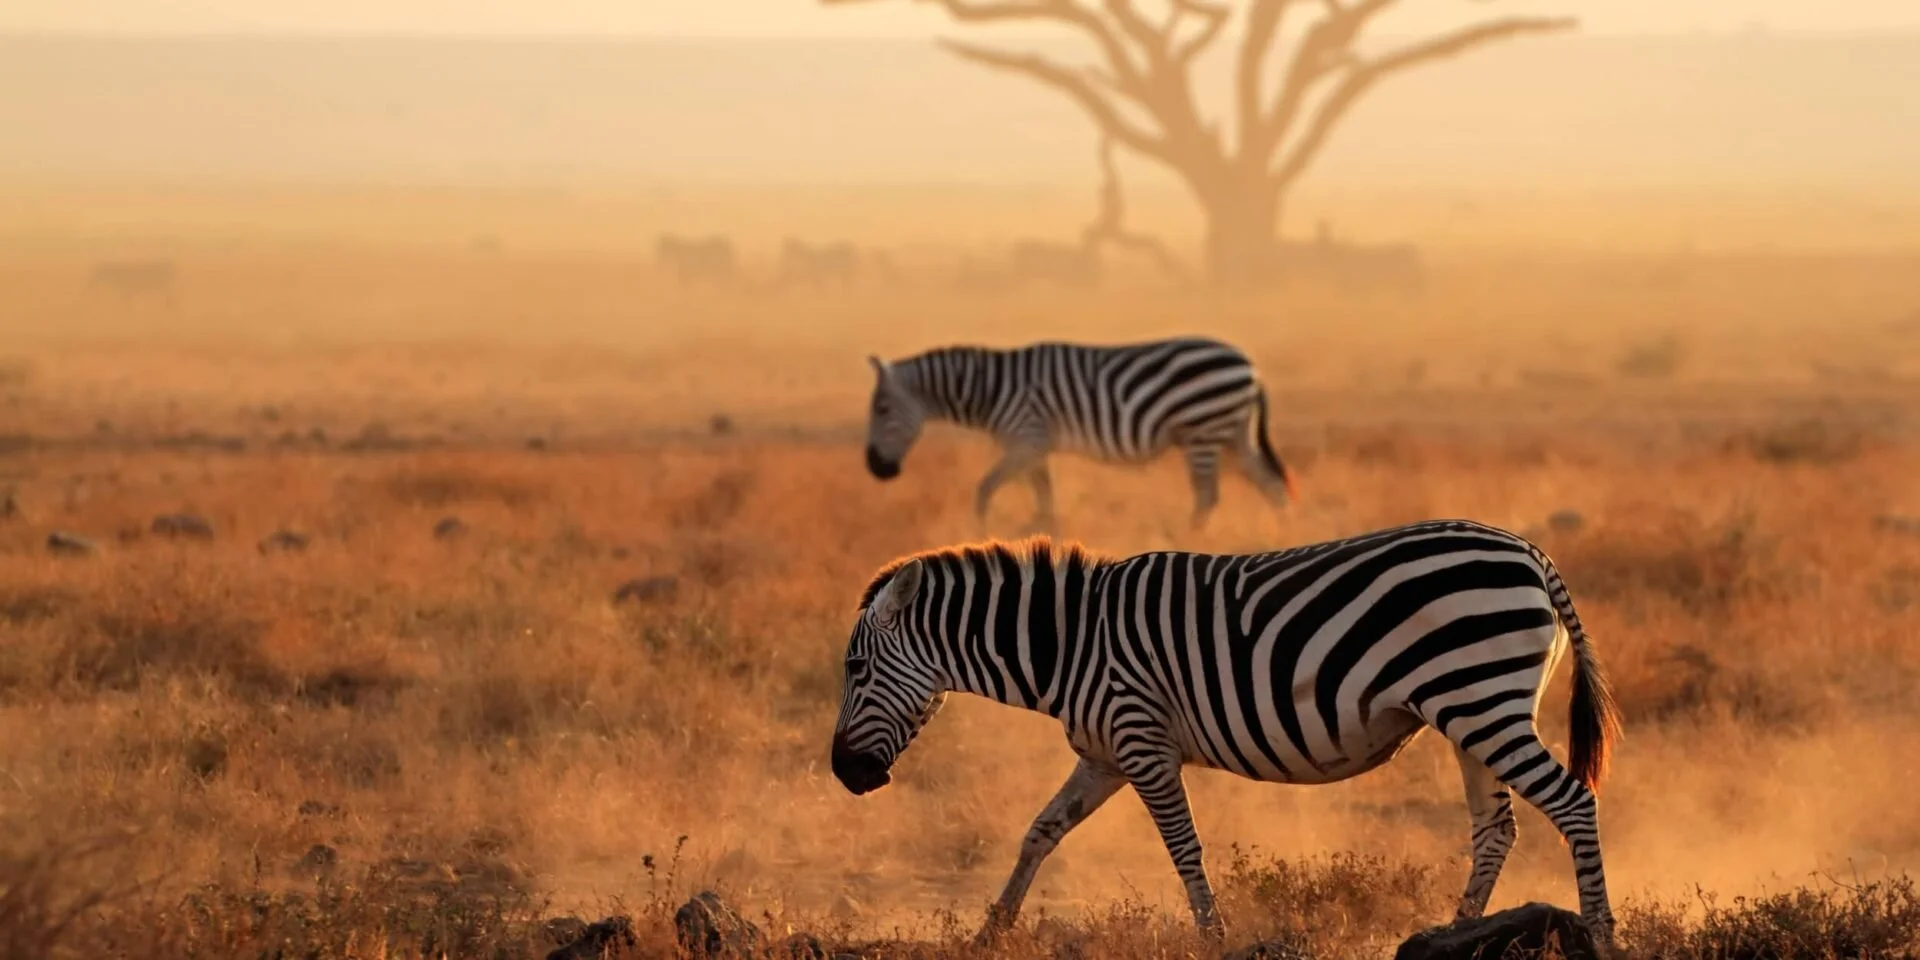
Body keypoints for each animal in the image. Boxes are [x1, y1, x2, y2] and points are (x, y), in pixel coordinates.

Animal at [830, 519, 1621, 946]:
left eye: (856, 668)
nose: (844, 776)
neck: (1071, 643)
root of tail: (1531, 553)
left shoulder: (1142, 742)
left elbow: (1184, 847)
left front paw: (1214, 938)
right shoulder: (1103, 756)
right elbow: (1039, 832)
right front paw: (991, 930)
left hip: (1483, 700)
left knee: (1572, 802)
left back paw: (1601, 934)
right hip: (1470, 712)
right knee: (1495, 828)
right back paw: (1452, 935)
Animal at [863, 337, 1298, 533]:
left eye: (881, 409)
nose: (875, 469)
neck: (990, 390)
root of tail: (1250, 365)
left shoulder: (1027, 439)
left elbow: (985, 489)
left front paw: (982, 534)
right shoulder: (1036, 447)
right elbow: (1044, 496)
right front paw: (1042, 535)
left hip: (1203, 430)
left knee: (1208, 495)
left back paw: (1188, 541)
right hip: (1233, 432)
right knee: (1271, 483)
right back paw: (1282, 533)